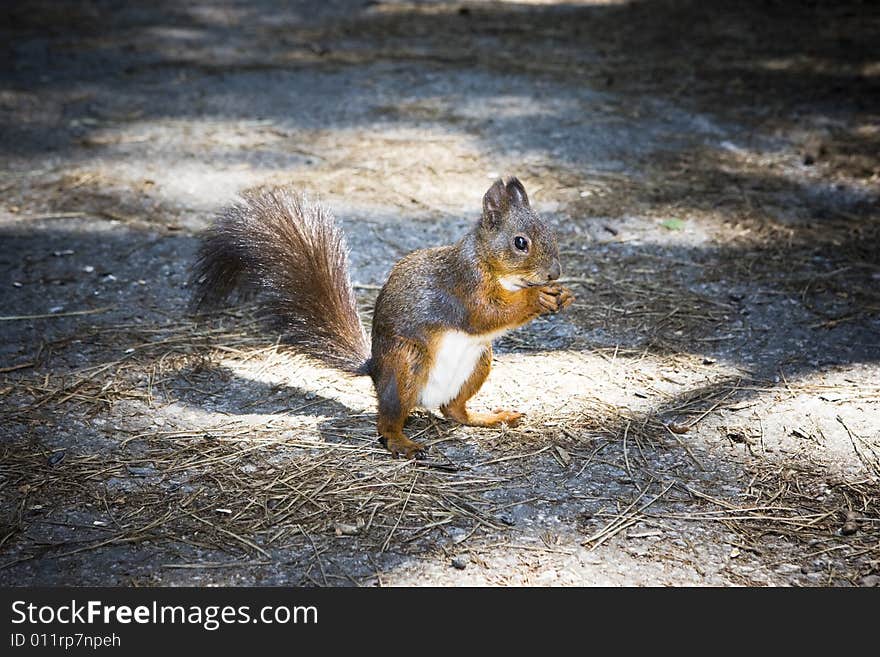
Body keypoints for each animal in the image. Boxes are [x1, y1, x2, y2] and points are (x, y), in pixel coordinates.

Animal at [192, 177, 576, 458]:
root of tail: (375, 369)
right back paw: (403, 443)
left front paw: (562, 295)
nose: (555, 274)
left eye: (551, 234)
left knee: (454, 410)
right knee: (388, 421)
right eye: (520, 242)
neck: (492, 267)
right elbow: (486, 314)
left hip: (479, 361)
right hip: (406, 364)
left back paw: (490, 417)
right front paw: (538, 297)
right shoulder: (463, 288)